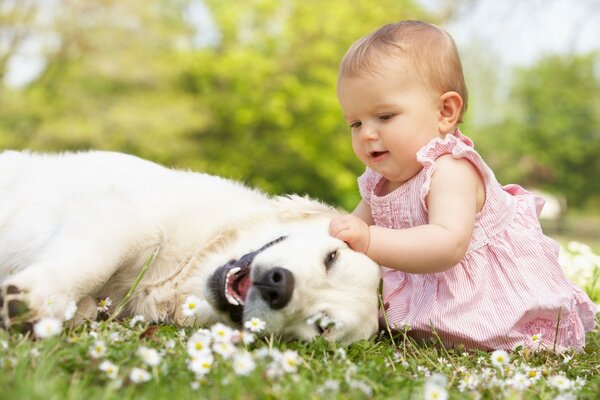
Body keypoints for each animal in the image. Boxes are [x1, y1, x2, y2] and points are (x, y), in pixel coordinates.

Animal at [0, 150, 380, 344]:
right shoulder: (124, 216)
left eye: (322, 326)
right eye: (332, 257)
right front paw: (36, 299)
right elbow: (93, 262)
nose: (279, 286)